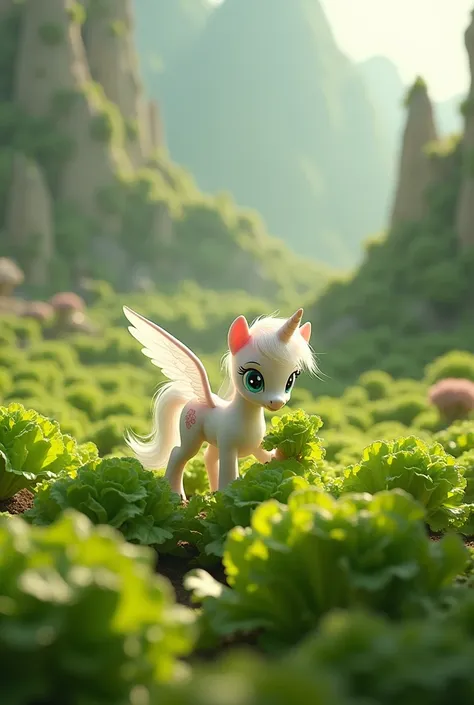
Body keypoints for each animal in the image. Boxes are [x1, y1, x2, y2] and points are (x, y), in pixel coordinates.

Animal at [122, 306, 316, 498]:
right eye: (254, 380)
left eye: (290, 380)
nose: (277, 402)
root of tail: (195, 398)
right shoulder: (229, 448)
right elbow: (229, 477)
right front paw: (226, 498)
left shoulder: (256, 447)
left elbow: (271, 459)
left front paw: (291, 451)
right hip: (191, 434)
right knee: (179, 453)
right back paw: (178, 496)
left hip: (214, 441)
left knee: (208, 456)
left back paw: (212, 493)